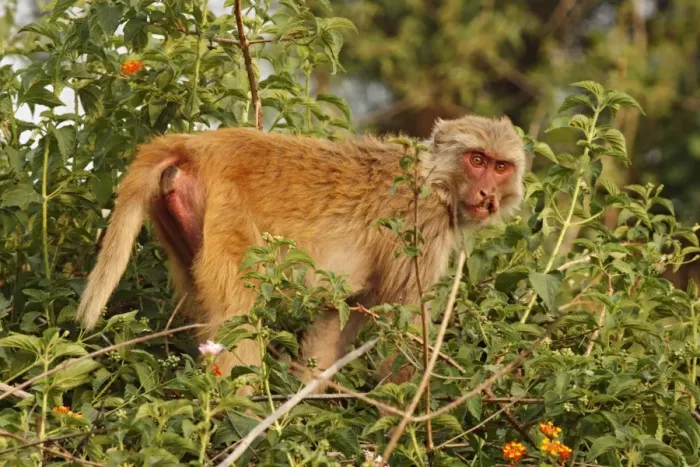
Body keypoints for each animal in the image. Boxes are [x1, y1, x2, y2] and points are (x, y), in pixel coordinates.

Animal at [76, 114, 528, 387]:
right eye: (476, 160)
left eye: (500, 166)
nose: (486, 194)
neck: (434, 179)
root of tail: (200, 146)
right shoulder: (420, 230)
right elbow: (401, 331)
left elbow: (333, 320)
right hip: (230, 215)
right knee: (238, 315)